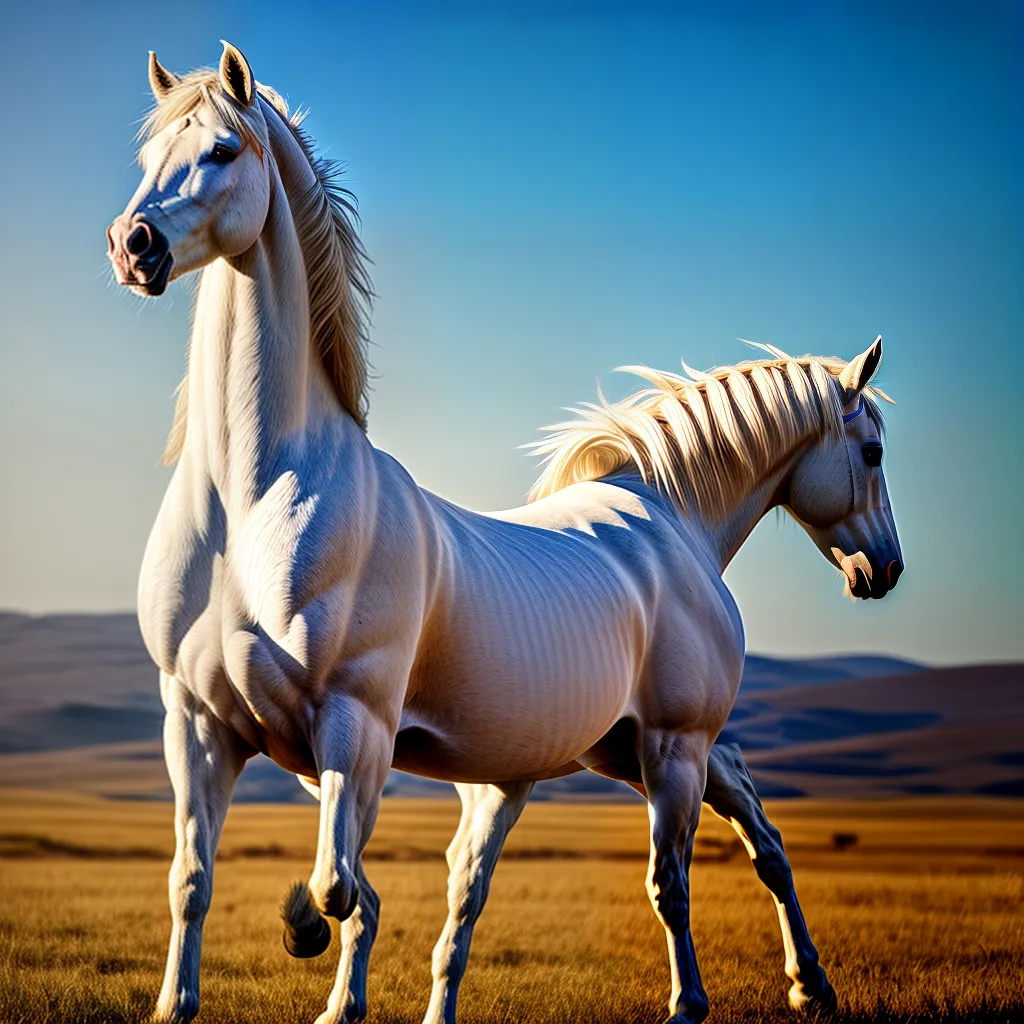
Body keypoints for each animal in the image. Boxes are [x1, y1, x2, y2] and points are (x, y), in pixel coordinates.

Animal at [106, 43, 903, 1024]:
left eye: (222, 149)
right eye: (150, 157)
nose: (133, 245)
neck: (254, 499)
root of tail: (672, 525)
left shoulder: (354, 725)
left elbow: (336, 885)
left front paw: (313, 946)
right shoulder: (199, 722)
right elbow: (199, 880)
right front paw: (188, 998)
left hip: (671, 748)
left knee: (693, 867)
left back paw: (727, 994)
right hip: (614, 755)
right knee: (725, 833)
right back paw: (803, 982)